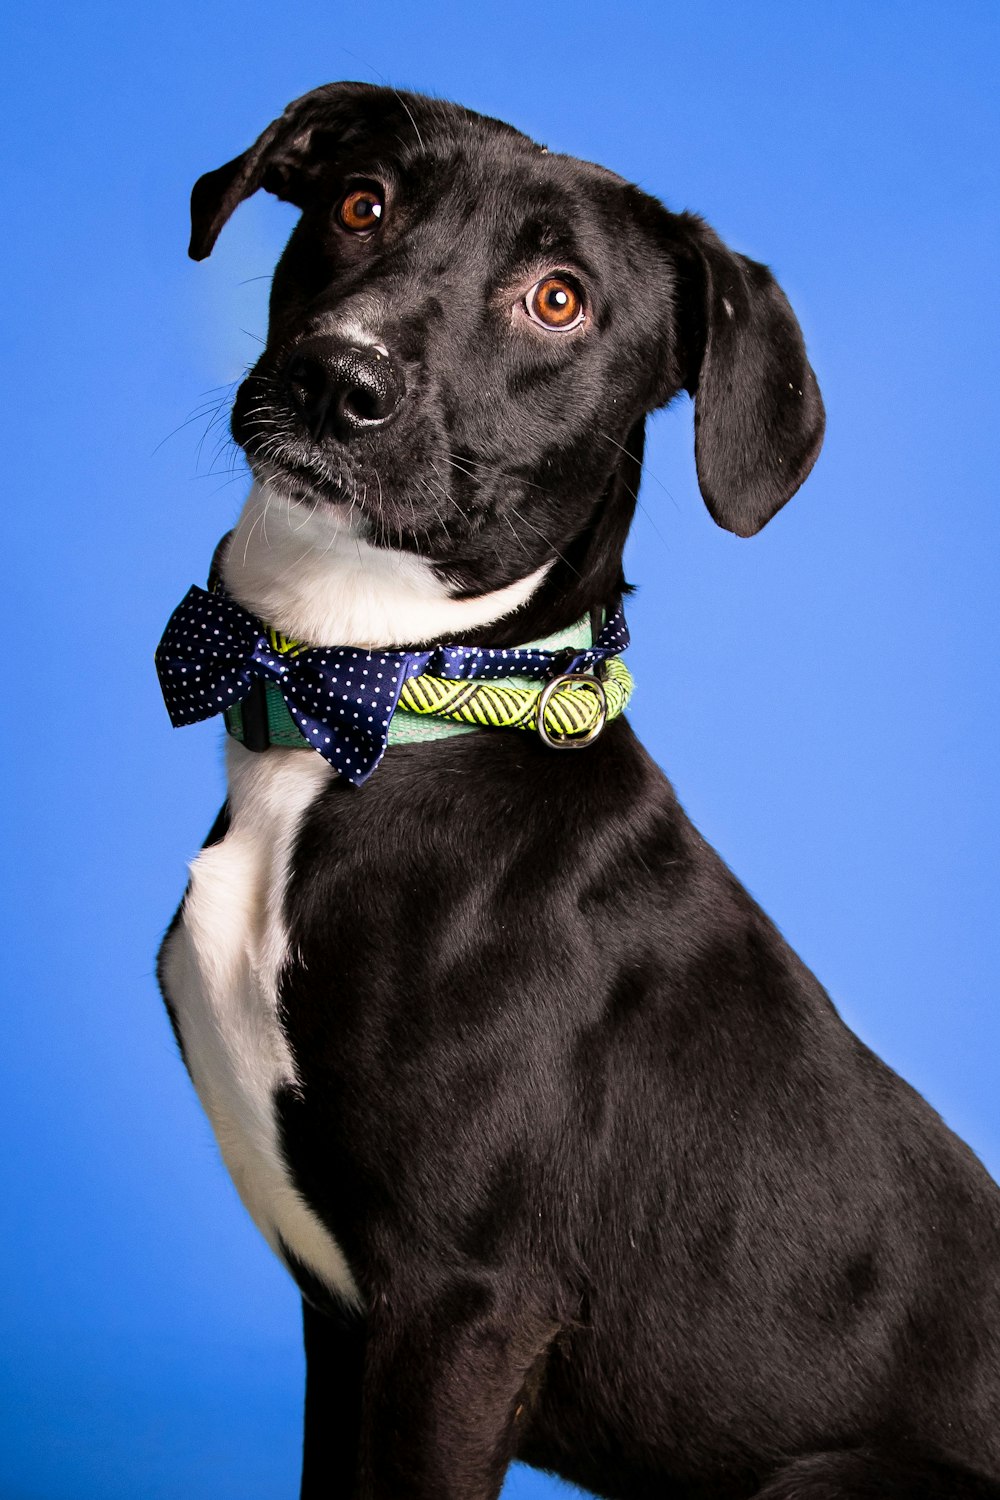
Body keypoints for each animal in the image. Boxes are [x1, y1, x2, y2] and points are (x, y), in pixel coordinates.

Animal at [156, 85, 1000, 1500]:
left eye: (558, 300)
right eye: (360, 203)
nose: (339, 377)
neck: (374, 704)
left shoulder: (462, 1310)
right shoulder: (344, 1324)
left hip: (822, 1474)